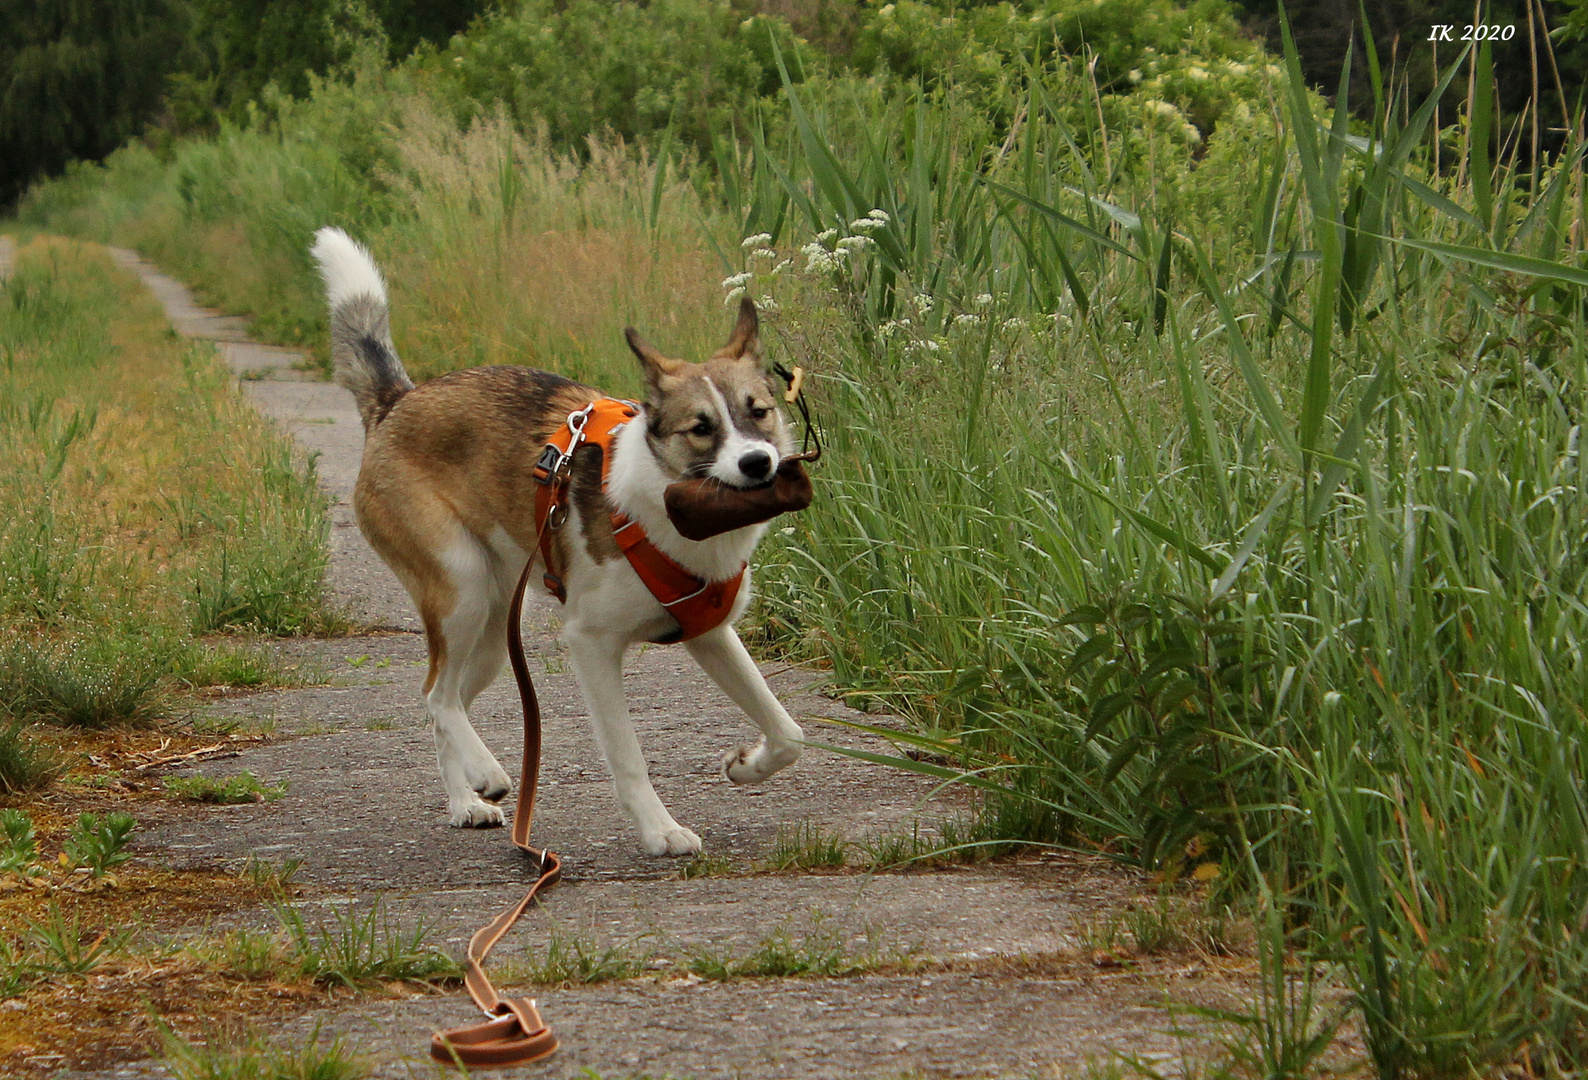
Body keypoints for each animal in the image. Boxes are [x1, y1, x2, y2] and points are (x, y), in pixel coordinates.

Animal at [306, 227, 806, 851]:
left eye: (758, 412)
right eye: (700, 428)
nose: (758, 463)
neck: (665, 506)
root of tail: (398, 402)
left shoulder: (710, 634)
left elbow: (789, 732)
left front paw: (747, 764)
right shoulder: (591, 645)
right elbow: (628, 757)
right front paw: (659, 830)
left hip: (494, 633)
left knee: (444, 699)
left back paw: (464, 799)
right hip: (462, 590)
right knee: (437, 697)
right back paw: (484, 774)